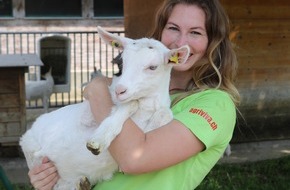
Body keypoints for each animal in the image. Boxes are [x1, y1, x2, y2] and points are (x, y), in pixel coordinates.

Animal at [19, 26, 189, 190]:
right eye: (122, 62)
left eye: (153, 67)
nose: (119, 90)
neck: (145, 111)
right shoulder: (87, 114)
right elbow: (131, 104)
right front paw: (98, 141)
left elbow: (165, 113)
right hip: (30, 148)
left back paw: (81, 184)